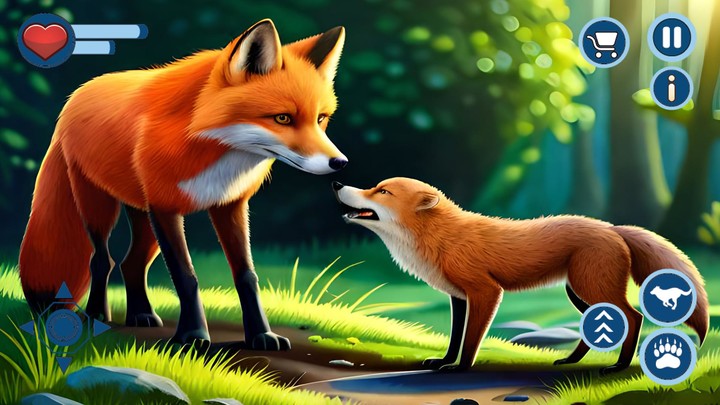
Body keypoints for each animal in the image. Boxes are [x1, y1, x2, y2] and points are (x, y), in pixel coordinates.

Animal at [19, 19, 348, 350]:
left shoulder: (229, 206)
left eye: (321, 119)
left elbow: (247, 276)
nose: (340, 163)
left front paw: (261, 335)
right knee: (101, 260)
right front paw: (193, 335)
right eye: (282, 118)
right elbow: (186, 277)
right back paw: (97, 315)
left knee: (130, 263)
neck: (212, 150)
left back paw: (141, 315)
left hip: (143, 217)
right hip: (100, 206)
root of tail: (77, 95)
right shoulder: (166, 208)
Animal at [332, 177, 709, 374]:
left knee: (634, 316)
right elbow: (454, 338)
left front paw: (461, 369)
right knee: (599, 323)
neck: (441, 239)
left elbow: (471, 340)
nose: (336, 182)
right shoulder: (458, 296)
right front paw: (443, 361)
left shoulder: (486, 291)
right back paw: (570, 360)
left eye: (382, 192)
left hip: (593, 288)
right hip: (579, 293)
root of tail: (612, 227)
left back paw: (618, 366)